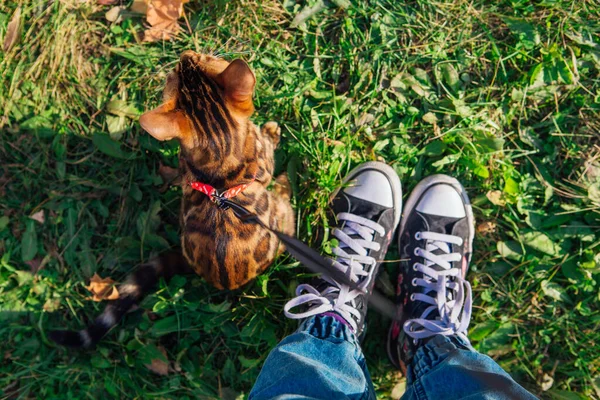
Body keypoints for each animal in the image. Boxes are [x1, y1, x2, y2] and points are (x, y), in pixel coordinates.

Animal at [50, 52, 294, 346]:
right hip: (283, 219)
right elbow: (268, 148)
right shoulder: (263, 161)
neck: (220, 155)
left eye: (201, 58)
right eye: (208, 56)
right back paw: (285, 183)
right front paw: (272, 131)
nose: (186, 54)